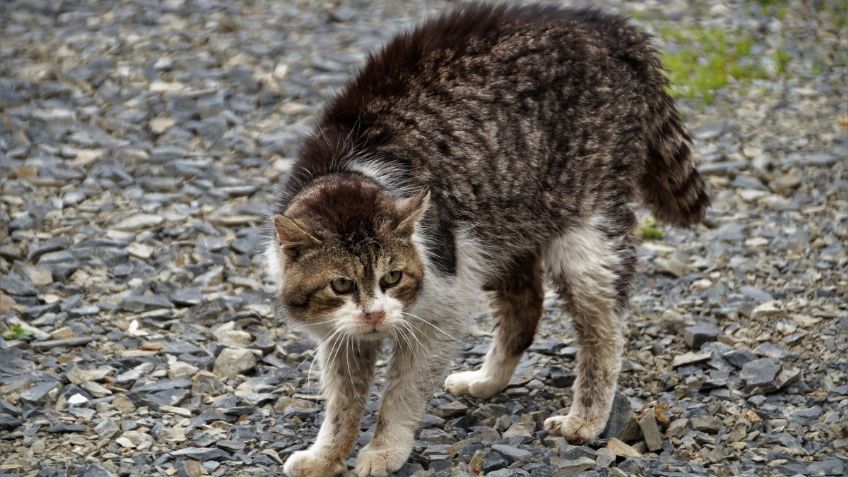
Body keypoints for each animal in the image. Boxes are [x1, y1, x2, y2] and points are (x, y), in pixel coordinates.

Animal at [266, 4, 708, 476]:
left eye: (392, 277)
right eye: (341, 284)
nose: (375, 315)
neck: (347, 171)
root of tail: (607, 26)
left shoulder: (443, 304)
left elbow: (402, 393)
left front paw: (385, 449)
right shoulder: (339, 335)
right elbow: (343, 404)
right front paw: (327, 454)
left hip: (585, 234)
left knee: (603, 331)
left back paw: (586, 417)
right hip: (501, 223)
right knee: (525, 307)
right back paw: (488, 380)